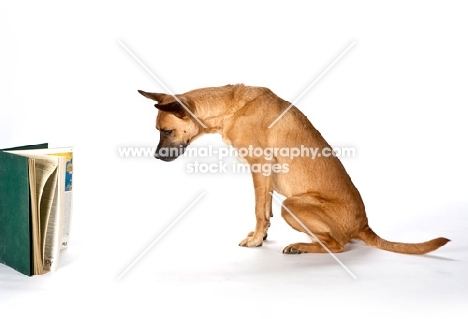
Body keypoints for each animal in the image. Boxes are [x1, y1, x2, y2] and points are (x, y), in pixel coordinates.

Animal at [139, 85, 450, 255]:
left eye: (166, 131)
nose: (155, 157)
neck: (230, 108)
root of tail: (363, 225)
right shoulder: (265, 176)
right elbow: (265, 211)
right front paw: (262, 236)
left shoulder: (260, 167)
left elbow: (258, 209)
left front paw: (255, 240)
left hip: (292, 205)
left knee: (338, 245)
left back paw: (303, 246)